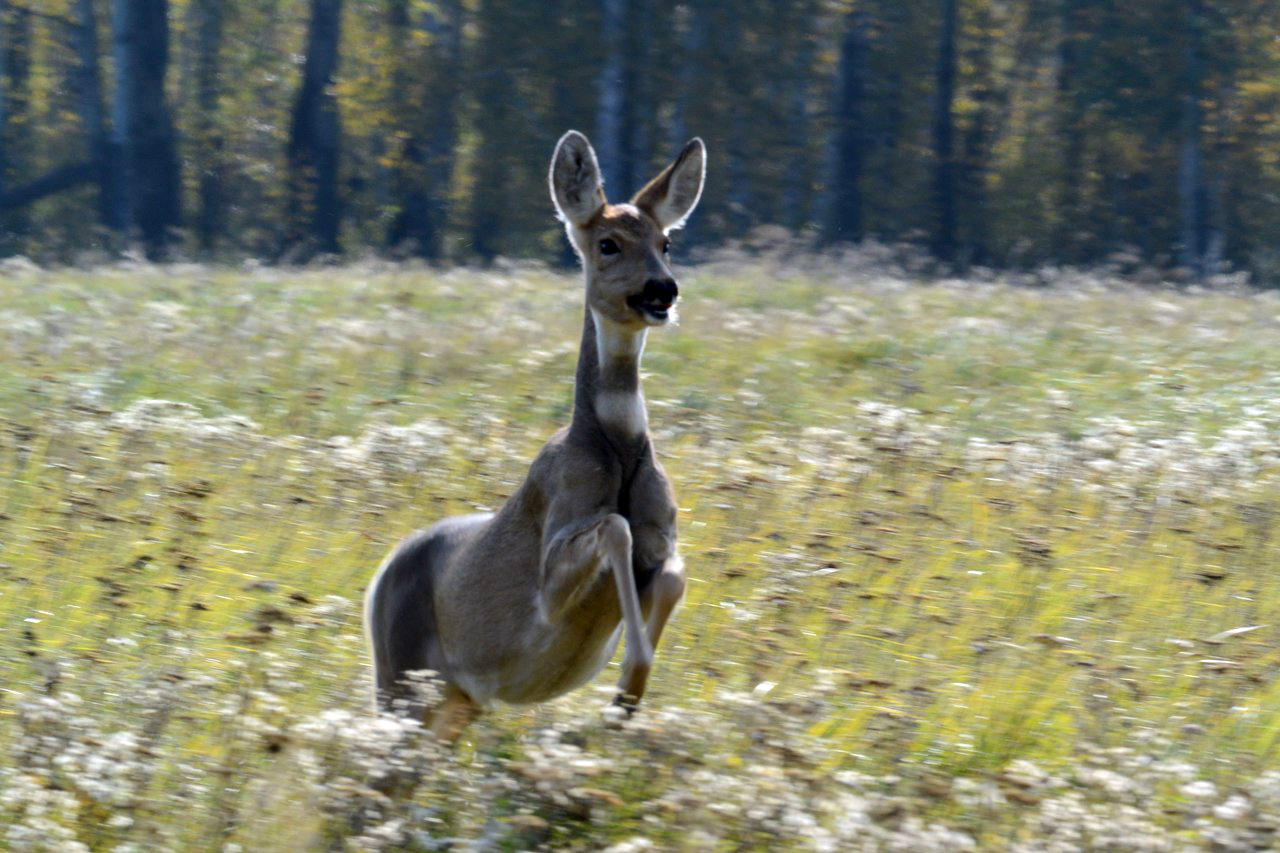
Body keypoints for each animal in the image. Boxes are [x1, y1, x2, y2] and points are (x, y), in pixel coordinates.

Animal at [363, 128, 711, 737]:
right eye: (607, 243)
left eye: (666, 241)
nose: (662, 291)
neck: (616, 451)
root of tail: (377, 579)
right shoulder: (551, 577)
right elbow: (614, 526)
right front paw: (630, 676)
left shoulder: (663, 536)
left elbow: (674, 575)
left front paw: (627, 695)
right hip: (397, 679)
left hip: (457, 702)